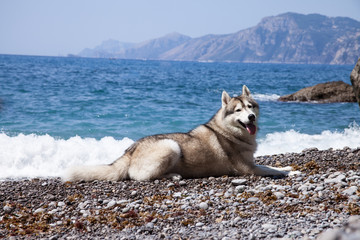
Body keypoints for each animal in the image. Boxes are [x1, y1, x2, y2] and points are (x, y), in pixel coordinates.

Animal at [65, 85, 296, 181]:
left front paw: (287, 166)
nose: (251, 117)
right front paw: (288, 172)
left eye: (251, 106)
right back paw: (173, 175)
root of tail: (130, 150)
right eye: (238, 110)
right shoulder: (248, 168)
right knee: (140, 177)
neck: (229, 131)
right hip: (171, 146)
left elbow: (272, 165)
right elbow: (270, 169)